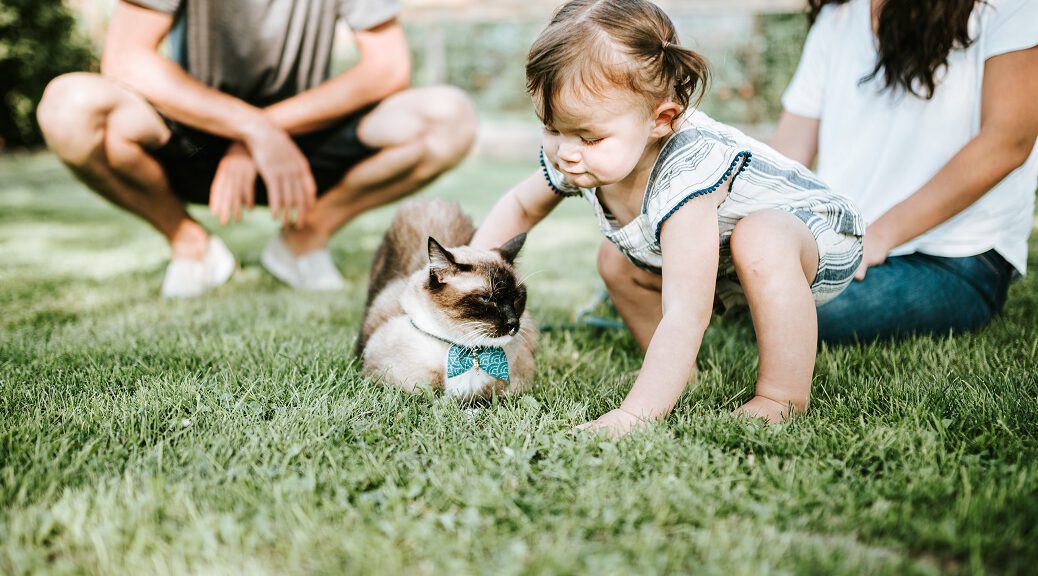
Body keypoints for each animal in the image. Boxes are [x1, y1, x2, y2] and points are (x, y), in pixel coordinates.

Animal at [354, 196, 535, 398]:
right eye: (487, 299)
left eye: (518, 297)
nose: (513, 323)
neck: (470, 353)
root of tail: (430, 200)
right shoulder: (393, 385)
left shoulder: (516, 388)